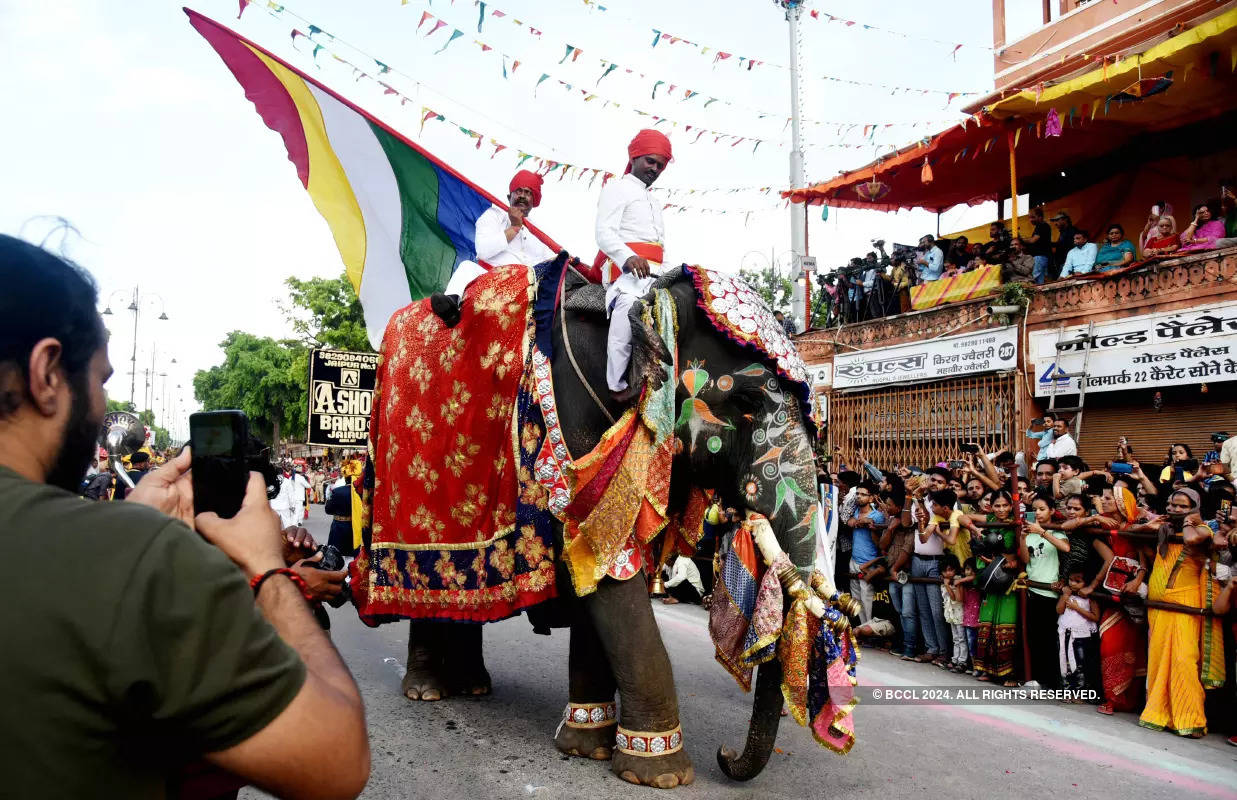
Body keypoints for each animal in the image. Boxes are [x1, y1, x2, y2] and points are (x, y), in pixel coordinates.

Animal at [343, 257, 856, 786]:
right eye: (747, 403)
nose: (725, 754)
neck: (647, 302)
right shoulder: (574, 419)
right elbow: (608, 567)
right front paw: (660, 773)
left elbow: (599, 564)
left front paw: (587, 744)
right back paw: (427, 690)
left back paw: (472, 686)